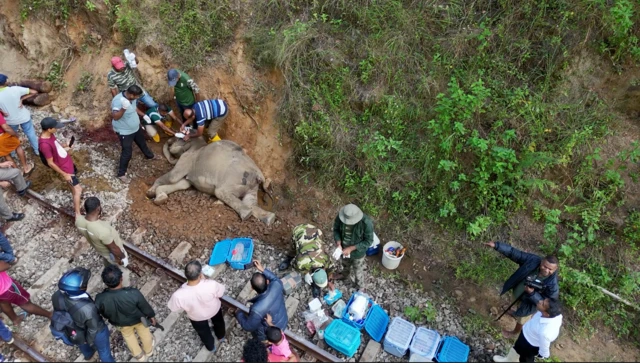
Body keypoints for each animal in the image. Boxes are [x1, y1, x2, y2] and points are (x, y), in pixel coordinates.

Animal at [146, 138, 276, 226]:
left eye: (179, 138)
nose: (169, 141)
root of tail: (259, 175)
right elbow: (183, 184)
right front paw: (160, 198)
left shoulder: (187, 158)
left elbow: (173, 177)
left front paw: (150, 193)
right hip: (251, 186)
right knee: (251, 203)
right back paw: (270, 218)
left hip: (237, 179)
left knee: (221, 192)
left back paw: (246, 214)